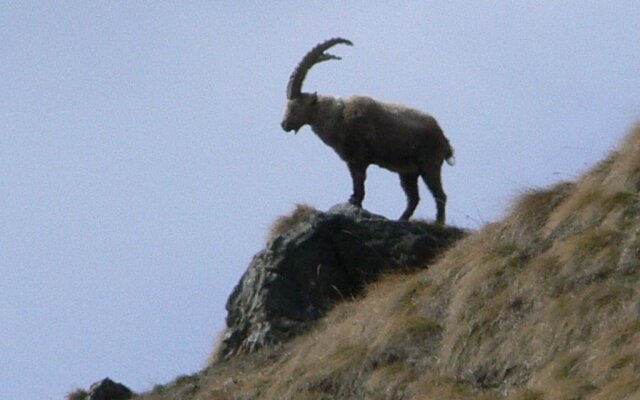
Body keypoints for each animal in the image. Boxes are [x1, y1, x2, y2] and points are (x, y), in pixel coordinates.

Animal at [282, 37, 456, 223]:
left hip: (429, 164)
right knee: (414, 198)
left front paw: (355, 202)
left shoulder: (359, 158)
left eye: (295, 106)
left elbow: (359, 182)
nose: (284, 124)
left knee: (440, 195)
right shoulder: (351, 160)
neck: (338, 116)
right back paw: (401, 219)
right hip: (408, 172)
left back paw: (438, 223)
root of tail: (444, 139)